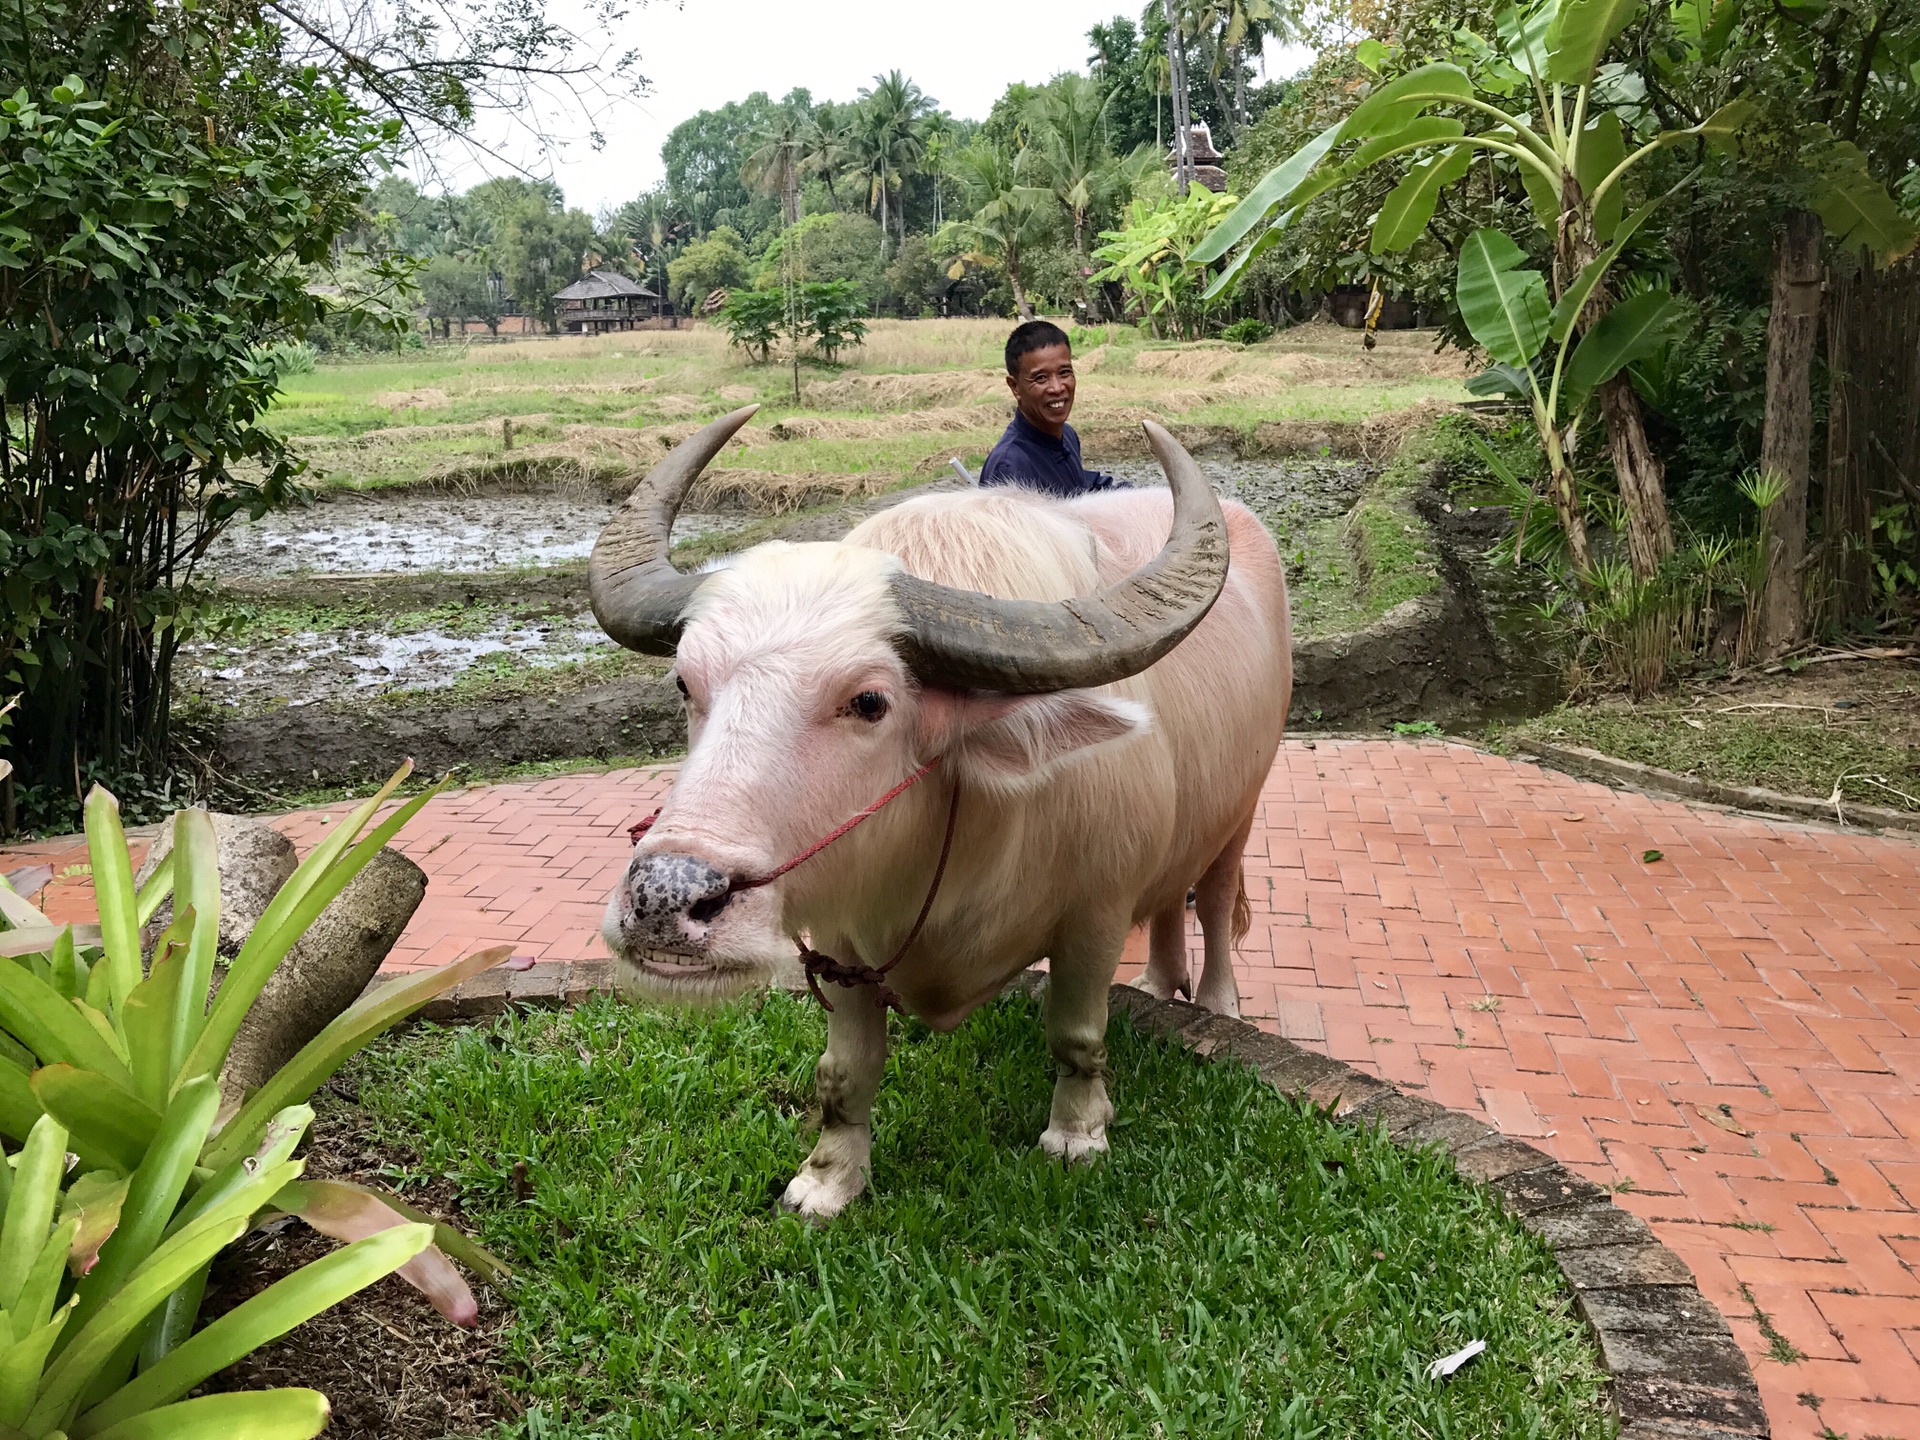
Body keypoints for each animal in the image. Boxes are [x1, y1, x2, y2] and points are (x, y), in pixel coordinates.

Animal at [599, 407, 1290, 1221]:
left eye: (869, 701)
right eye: (685, 683)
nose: (663, 900)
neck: (957, 848)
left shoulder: (1094, 913)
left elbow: (1078, 1035)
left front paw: (1077, 1134)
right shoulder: (841, 940)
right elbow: (843, 1072)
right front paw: (829, 1181)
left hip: (1244, 805)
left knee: (1212, 897)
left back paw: (1218, 1005)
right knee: (1167, 905)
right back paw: (1158, 988)